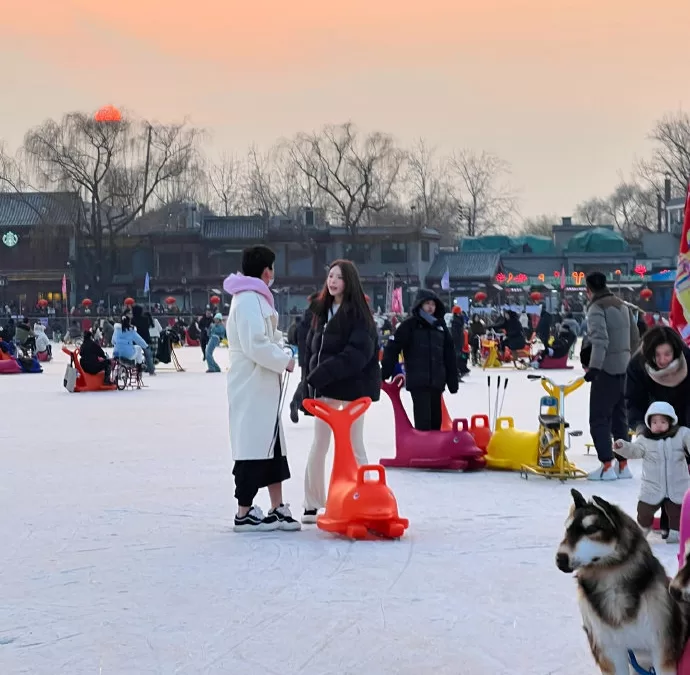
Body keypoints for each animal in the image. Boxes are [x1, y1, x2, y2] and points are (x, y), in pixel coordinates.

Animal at [552, 492, 688, 675]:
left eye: (591, 529)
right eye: (567, 529)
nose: (560, 559)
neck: (610, 580)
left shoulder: (661, 649)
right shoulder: (609, 651)